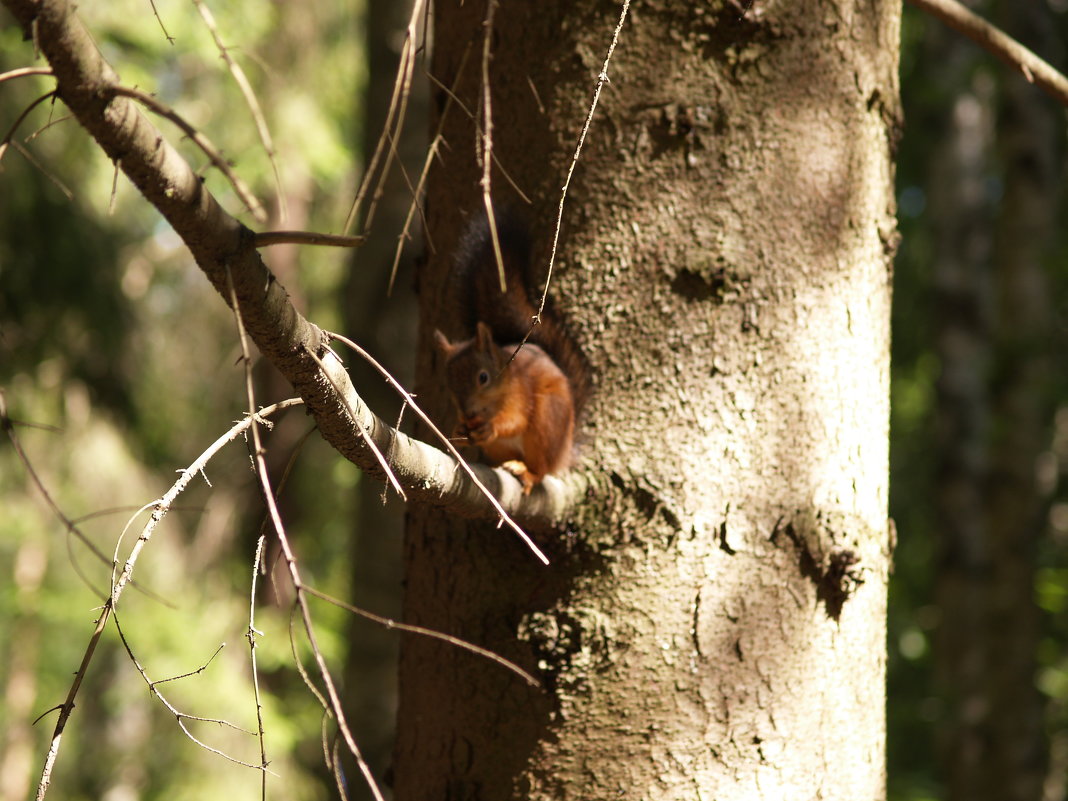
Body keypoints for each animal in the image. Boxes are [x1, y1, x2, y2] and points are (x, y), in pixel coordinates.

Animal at [431, 211, 589, 495]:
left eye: (483, 377)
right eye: (448, 383)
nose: (468, 413)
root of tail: (564, 453)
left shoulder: (520, 392)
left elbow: (516, 419)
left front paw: (492, 426)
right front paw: (459, 427)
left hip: (547, 424)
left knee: (541, 469)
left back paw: (526, 472)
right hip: (501, 448)